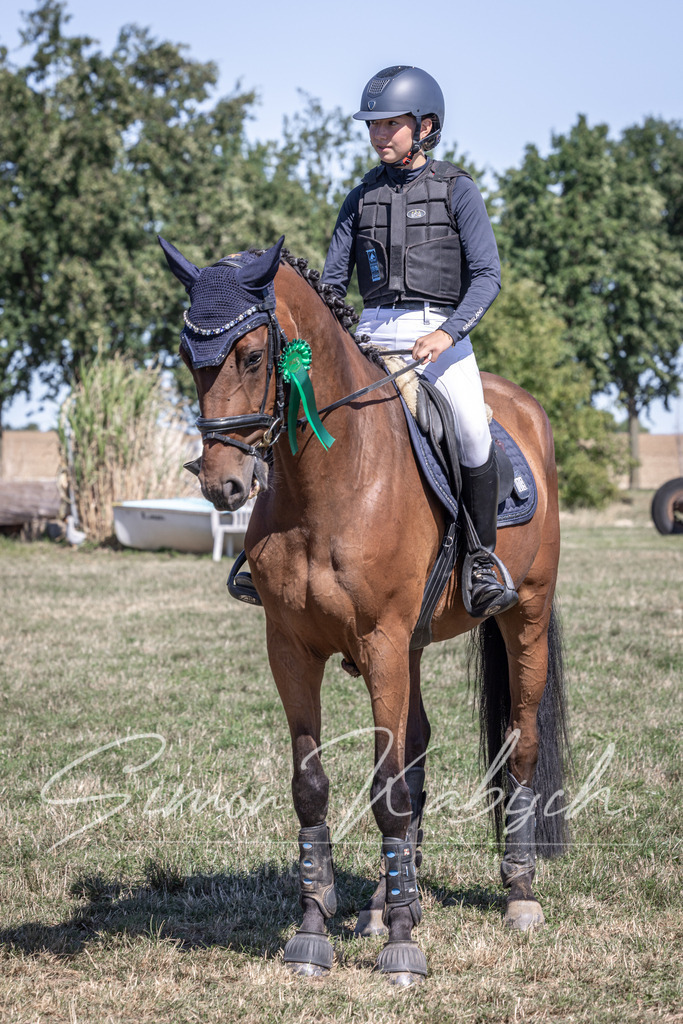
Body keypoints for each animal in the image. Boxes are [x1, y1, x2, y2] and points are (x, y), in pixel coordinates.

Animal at [159, 234, 570, 985]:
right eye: (185, 354)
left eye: (254, 356)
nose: (222, 484)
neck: (330, 481)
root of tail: (525, 408)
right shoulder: (292, 649)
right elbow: (315, 786)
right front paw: (315, 931)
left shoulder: (380, 644)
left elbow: (386, 791)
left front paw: (403, 947)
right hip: (412, 646)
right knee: (419, 750)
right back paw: (387, 899)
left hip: (522, 615)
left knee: (518, 745)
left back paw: (518, 894)